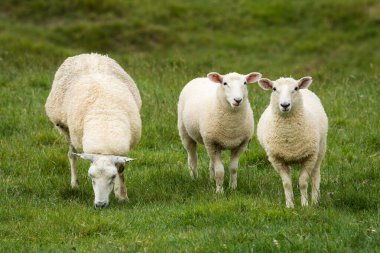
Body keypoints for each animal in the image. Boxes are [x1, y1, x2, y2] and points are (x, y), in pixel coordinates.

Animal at [45, 52, 142, 208]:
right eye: (91, 177)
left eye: (112, 176)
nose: (100, 205)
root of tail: (87, 54)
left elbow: (121, 169)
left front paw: (122, 195)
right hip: (66, 128)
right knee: (71, 155)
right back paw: (74, 185)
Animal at [256, 76, 328, 208]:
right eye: (274, 89)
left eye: (295, 88)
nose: (285, 105)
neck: (289, 135)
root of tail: (306, 89)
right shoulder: (277, 159)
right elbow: (286, 183)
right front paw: (290, 205)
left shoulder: (309, 157)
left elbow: (303, 182)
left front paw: (305, 204)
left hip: (320, 149)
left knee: (315, 175)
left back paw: (315, 200)